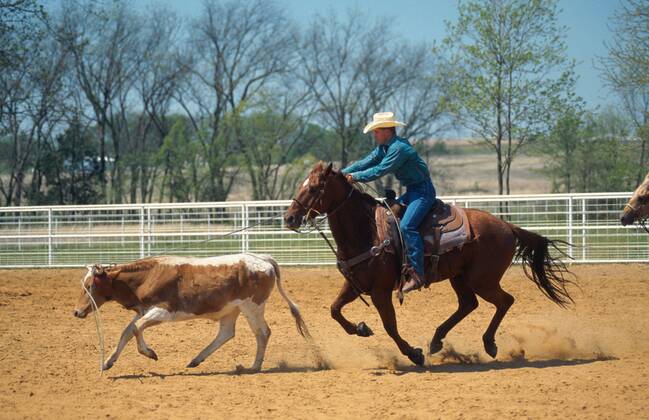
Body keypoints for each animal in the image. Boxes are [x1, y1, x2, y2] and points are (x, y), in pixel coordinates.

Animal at [284, 162, 575, 366]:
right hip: (460, 277)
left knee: (504, 301)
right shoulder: (355, 285)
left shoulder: (380, 291)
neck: (368, 231)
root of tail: (508, 227)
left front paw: (414, 354)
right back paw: (437, 341)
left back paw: (488, 344)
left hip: (482, 279)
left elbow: (390, 326)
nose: (289, 218)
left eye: (313, 188)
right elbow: (334, 310)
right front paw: (361, 328)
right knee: (469, 304)